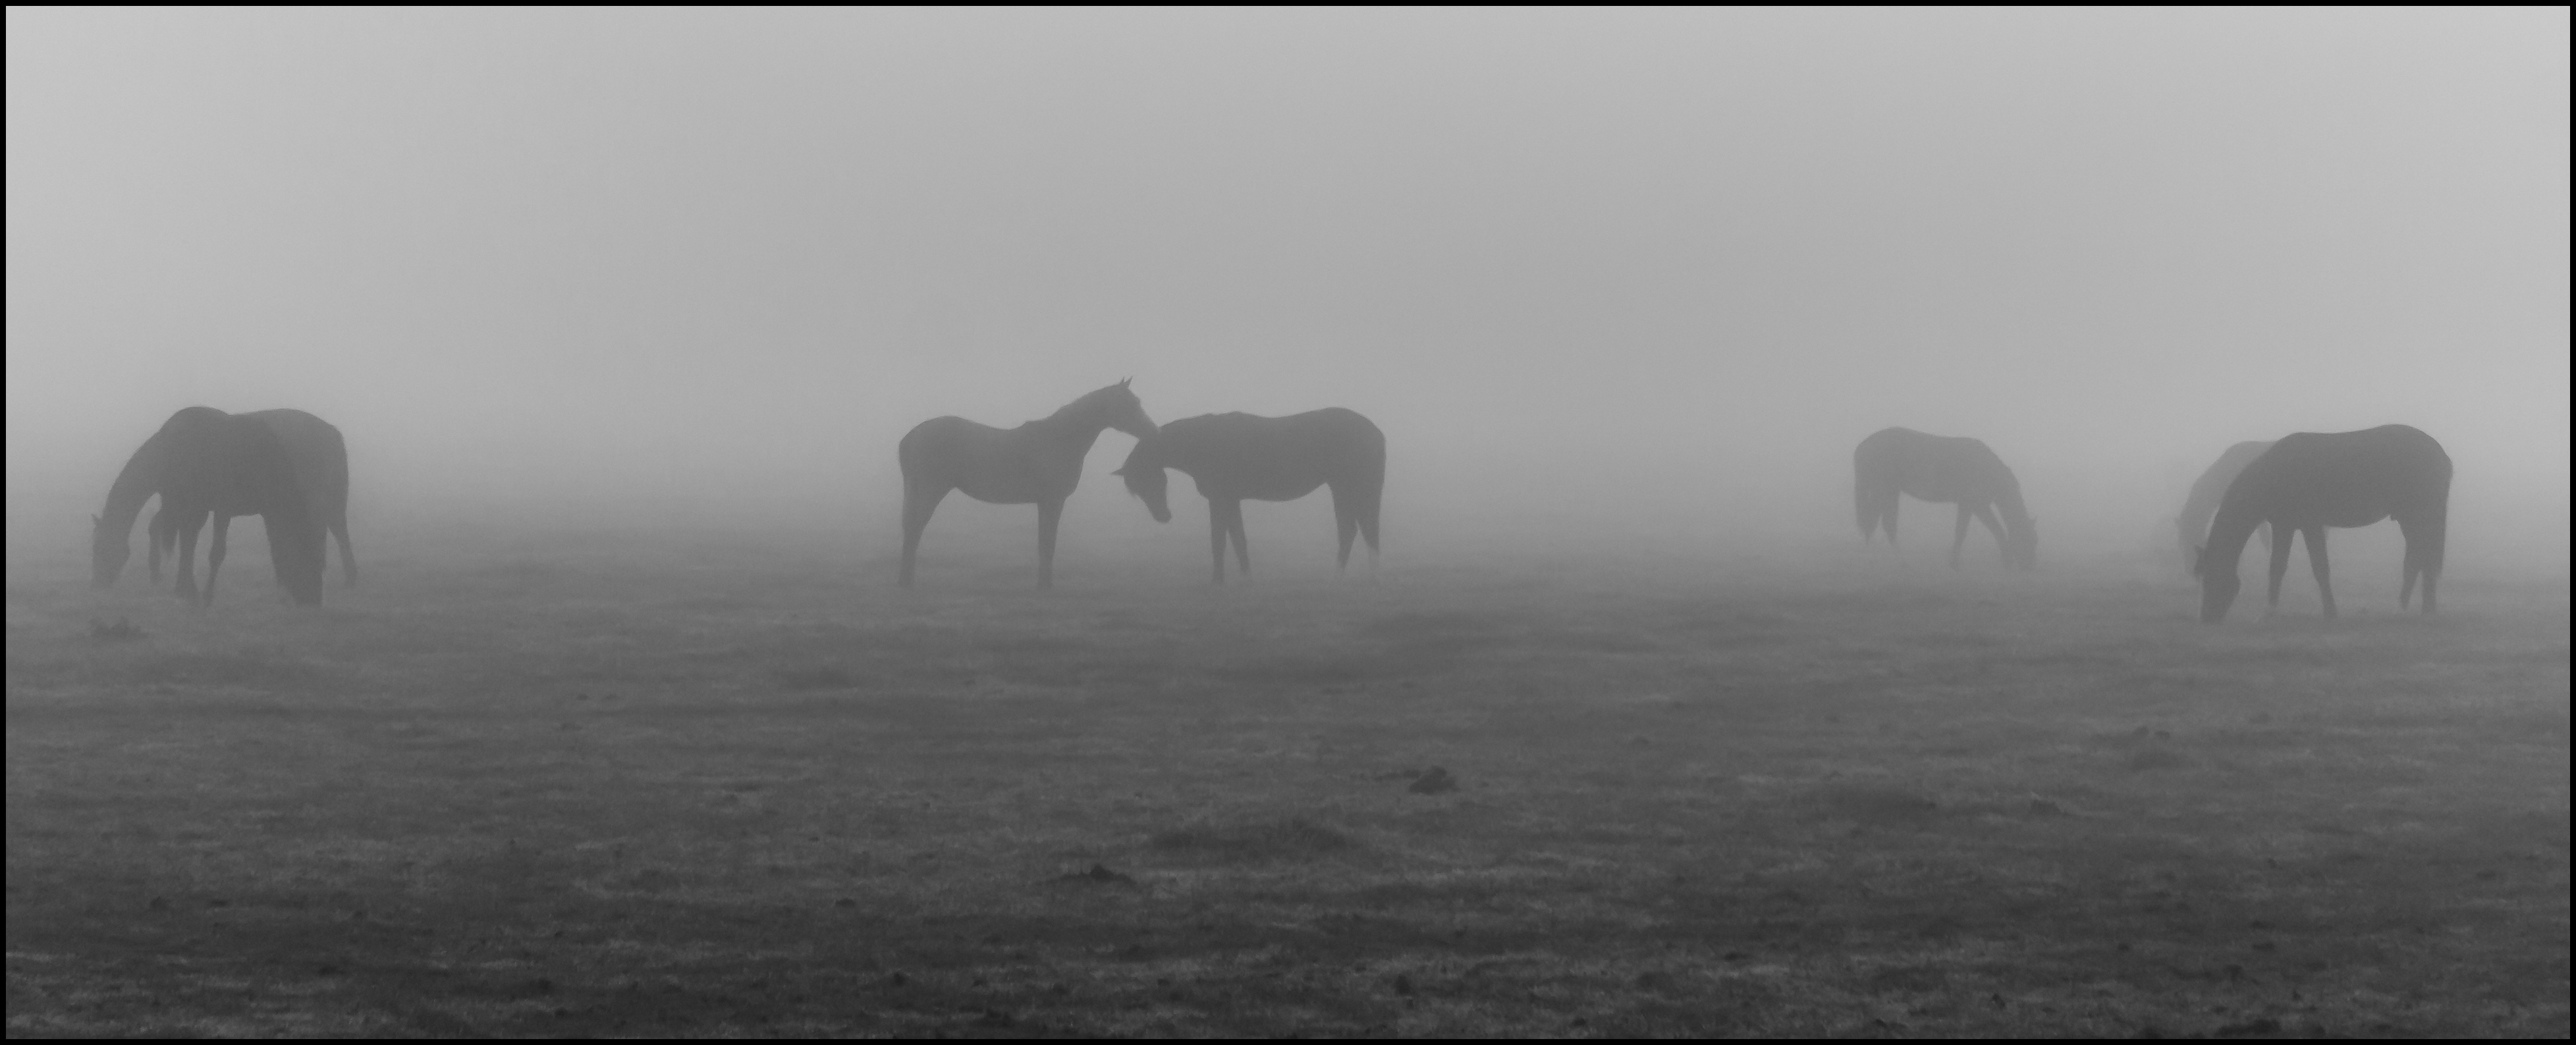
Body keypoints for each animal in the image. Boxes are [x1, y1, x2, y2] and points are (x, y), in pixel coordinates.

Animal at [92, 407, 326, 607]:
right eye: (97, 548)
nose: (314, 599)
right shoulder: (221, 508)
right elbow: (214, 552)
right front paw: (204, 595)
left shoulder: (255, 510)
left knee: (175, 534)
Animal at [897, 380, 1157, 589]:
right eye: (1128, 404)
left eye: (1137, 402)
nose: (1153, 431)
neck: (1060, 439)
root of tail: (911, 436)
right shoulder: (1053, 501)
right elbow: (1048, 544)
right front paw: (1045, 586)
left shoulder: (1045, 502)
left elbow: (1044, 543)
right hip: (931, 491)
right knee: (914, 528)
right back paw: (908, 583)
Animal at [1114, 408, 1385, 584]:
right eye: (1138, 487)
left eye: (1151, 480)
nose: (1163, 516)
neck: (1202, 443)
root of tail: (1375, 431)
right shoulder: (1230, 500)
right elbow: (1237, 539)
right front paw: (1246, 578)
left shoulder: (1220, 499)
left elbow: (1219, 540)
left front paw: (1218, 581)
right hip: (1341, 488)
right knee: (1352, 530)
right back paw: (1341, 578)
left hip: (1352, 487)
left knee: (1362, 529)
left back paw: (1361, 578)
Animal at [1853, 427, 2037, 569]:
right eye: (2029, 539)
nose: (2029, 567)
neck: (1989, 471)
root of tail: (1863, 446)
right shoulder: (1976, 505)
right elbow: (1981, 531)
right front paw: (1955, 563)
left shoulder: (1971, 505)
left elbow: (1974, 530)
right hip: (1881, 490)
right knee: (1872, 522)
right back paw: (1881, 560)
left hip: (1891, 492)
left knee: (1884, 524)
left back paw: (1900, 562)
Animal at [2194, 425, 2450, 623]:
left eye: (2210, 578)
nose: (2206, 618)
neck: (2275, 475)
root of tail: (2441, 455)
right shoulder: (2284, 525)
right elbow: (2277, 567)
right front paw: (2268, 613)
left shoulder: (2311, 525)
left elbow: (2320, 568)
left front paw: (2330, 613)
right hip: (2411, 519)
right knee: (2419, 558)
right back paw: (2414, 609)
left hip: (2420, 516)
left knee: (2423, 558)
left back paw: (2419, 611)